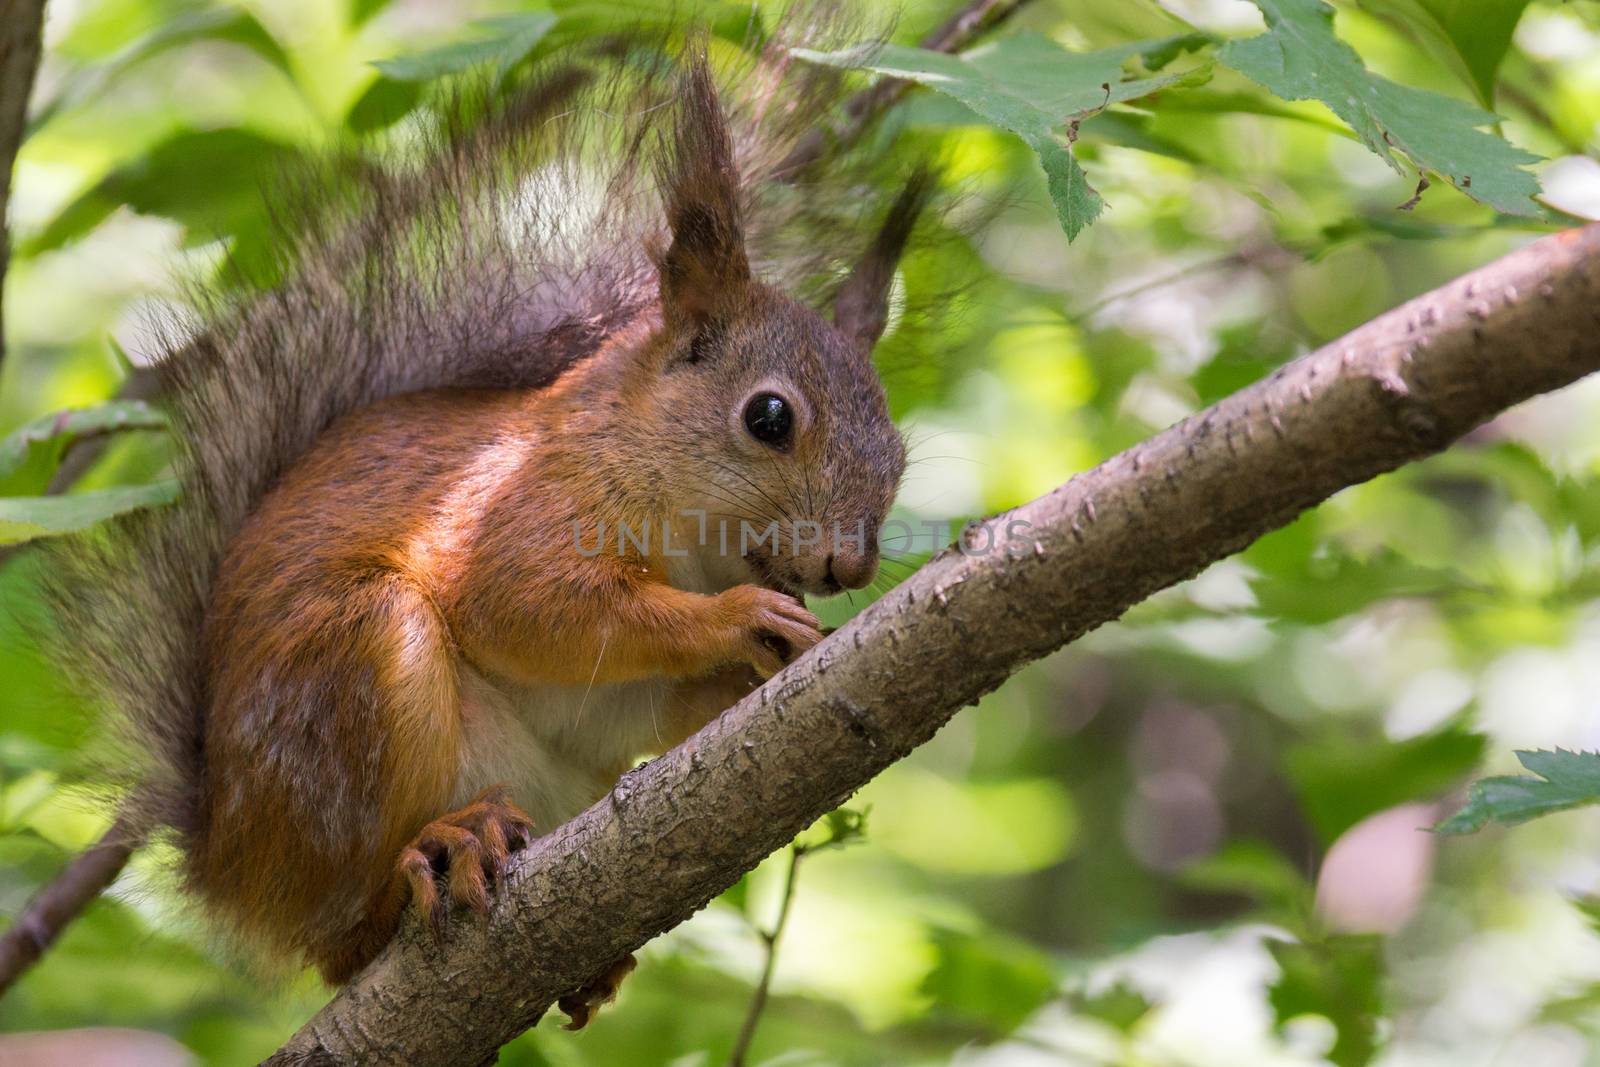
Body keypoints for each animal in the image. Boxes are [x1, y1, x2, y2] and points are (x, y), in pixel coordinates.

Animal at [18, 12, 934, 1030]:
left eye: (898, 452)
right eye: (769, 417)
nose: (849, 566)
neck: (686, 531)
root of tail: (231, 866)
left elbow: (647, 705)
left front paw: (769, 661)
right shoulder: (522, 511)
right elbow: (533, 607)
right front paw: (734, 619)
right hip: (347, 681)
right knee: (343, 937)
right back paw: (435, 854)